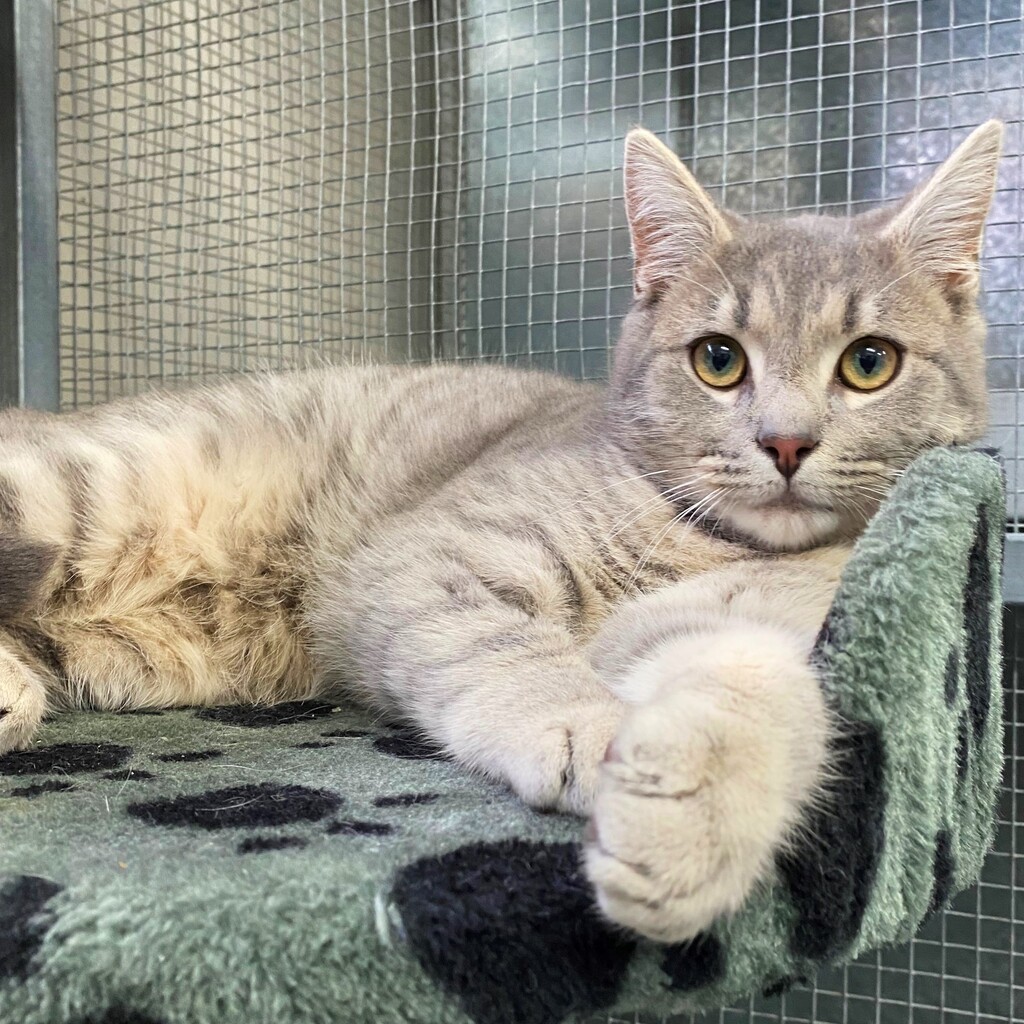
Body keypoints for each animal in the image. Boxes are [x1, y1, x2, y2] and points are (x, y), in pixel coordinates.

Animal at [0, 120, 1001, 943]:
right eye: (719, 360)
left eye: (868, 363)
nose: (786, 442)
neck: (708, 540)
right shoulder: (430, 560)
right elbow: (508, 650)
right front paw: (589, 728)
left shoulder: (743, 626)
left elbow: (760, 696)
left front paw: (693, 825)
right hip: (81, 492)